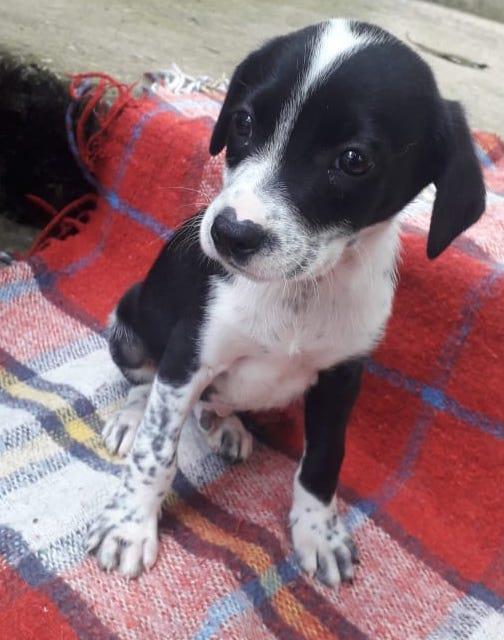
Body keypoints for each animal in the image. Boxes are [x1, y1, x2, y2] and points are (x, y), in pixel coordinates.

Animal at [87, 19, 485, 587]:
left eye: (353, 160)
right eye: (244, 121)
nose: (229, 234)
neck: (300, 291)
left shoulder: (342, 377)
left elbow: (323, 461)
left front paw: (319, 534)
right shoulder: (189, 355)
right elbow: (157, 449)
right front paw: (129, 526)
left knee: (217, 402)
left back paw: (226, 424)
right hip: (131, 321)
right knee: (147, 386)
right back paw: (133, 417)